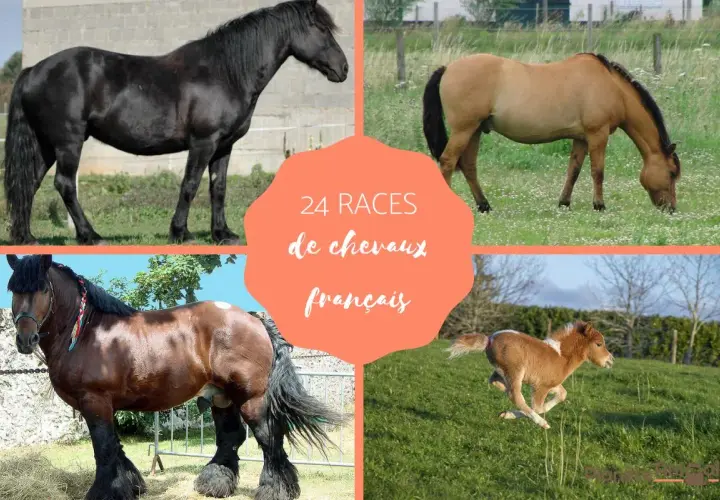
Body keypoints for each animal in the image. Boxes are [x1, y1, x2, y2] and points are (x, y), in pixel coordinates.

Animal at [3, 0, 349, 246]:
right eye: (321, 29)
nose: (343, 68)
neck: (224, 72)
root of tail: (33, 70)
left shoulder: (224, 146)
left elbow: (218, 188)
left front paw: (223, 234)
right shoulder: (203, 143)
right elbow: (190, 185)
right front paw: (180, 232)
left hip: (47, 145)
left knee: (29, 183)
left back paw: (28, 238)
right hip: (68, 142)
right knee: (64, 184)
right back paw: (91, 236)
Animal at [5, 254, 348, 500]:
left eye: (41, 288)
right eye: (13, 289)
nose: (25, 339)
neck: (89, 331)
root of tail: (254, 319)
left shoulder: (95, 402)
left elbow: (103, 449)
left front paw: (104, 492)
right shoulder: (105, 406)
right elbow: (115, 447)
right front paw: (130, 486)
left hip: (251, 398)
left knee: (269, 438)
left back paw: (274, 490)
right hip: (221, 397)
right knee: (231, 437)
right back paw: (214, 483)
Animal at [423, 52, 680, 214]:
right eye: (671, 173)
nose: (671, 208)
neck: (611, 86)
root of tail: (448, 68)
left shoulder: (581, 138)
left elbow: (573, 171)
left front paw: (564, 203)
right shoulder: (598, 134)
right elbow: (597, 172)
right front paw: (599, 205)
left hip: (475, 130)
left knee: (468, 166)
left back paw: (484, 205)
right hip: (463, 130)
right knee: (448, 162)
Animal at [445, 321, 614, 430]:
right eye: (599, 344)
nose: (611, 360)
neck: (561, 356)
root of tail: (489, 339)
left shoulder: (550, 384)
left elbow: (562, 394)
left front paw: (507, 413)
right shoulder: (541, 387)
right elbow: (537, 407)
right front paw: (511, 414)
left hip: (503, 371)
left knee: (494, 381)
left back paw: (504, 393)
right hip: (515, 371)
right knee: (515, 396)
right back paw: (541, 423)